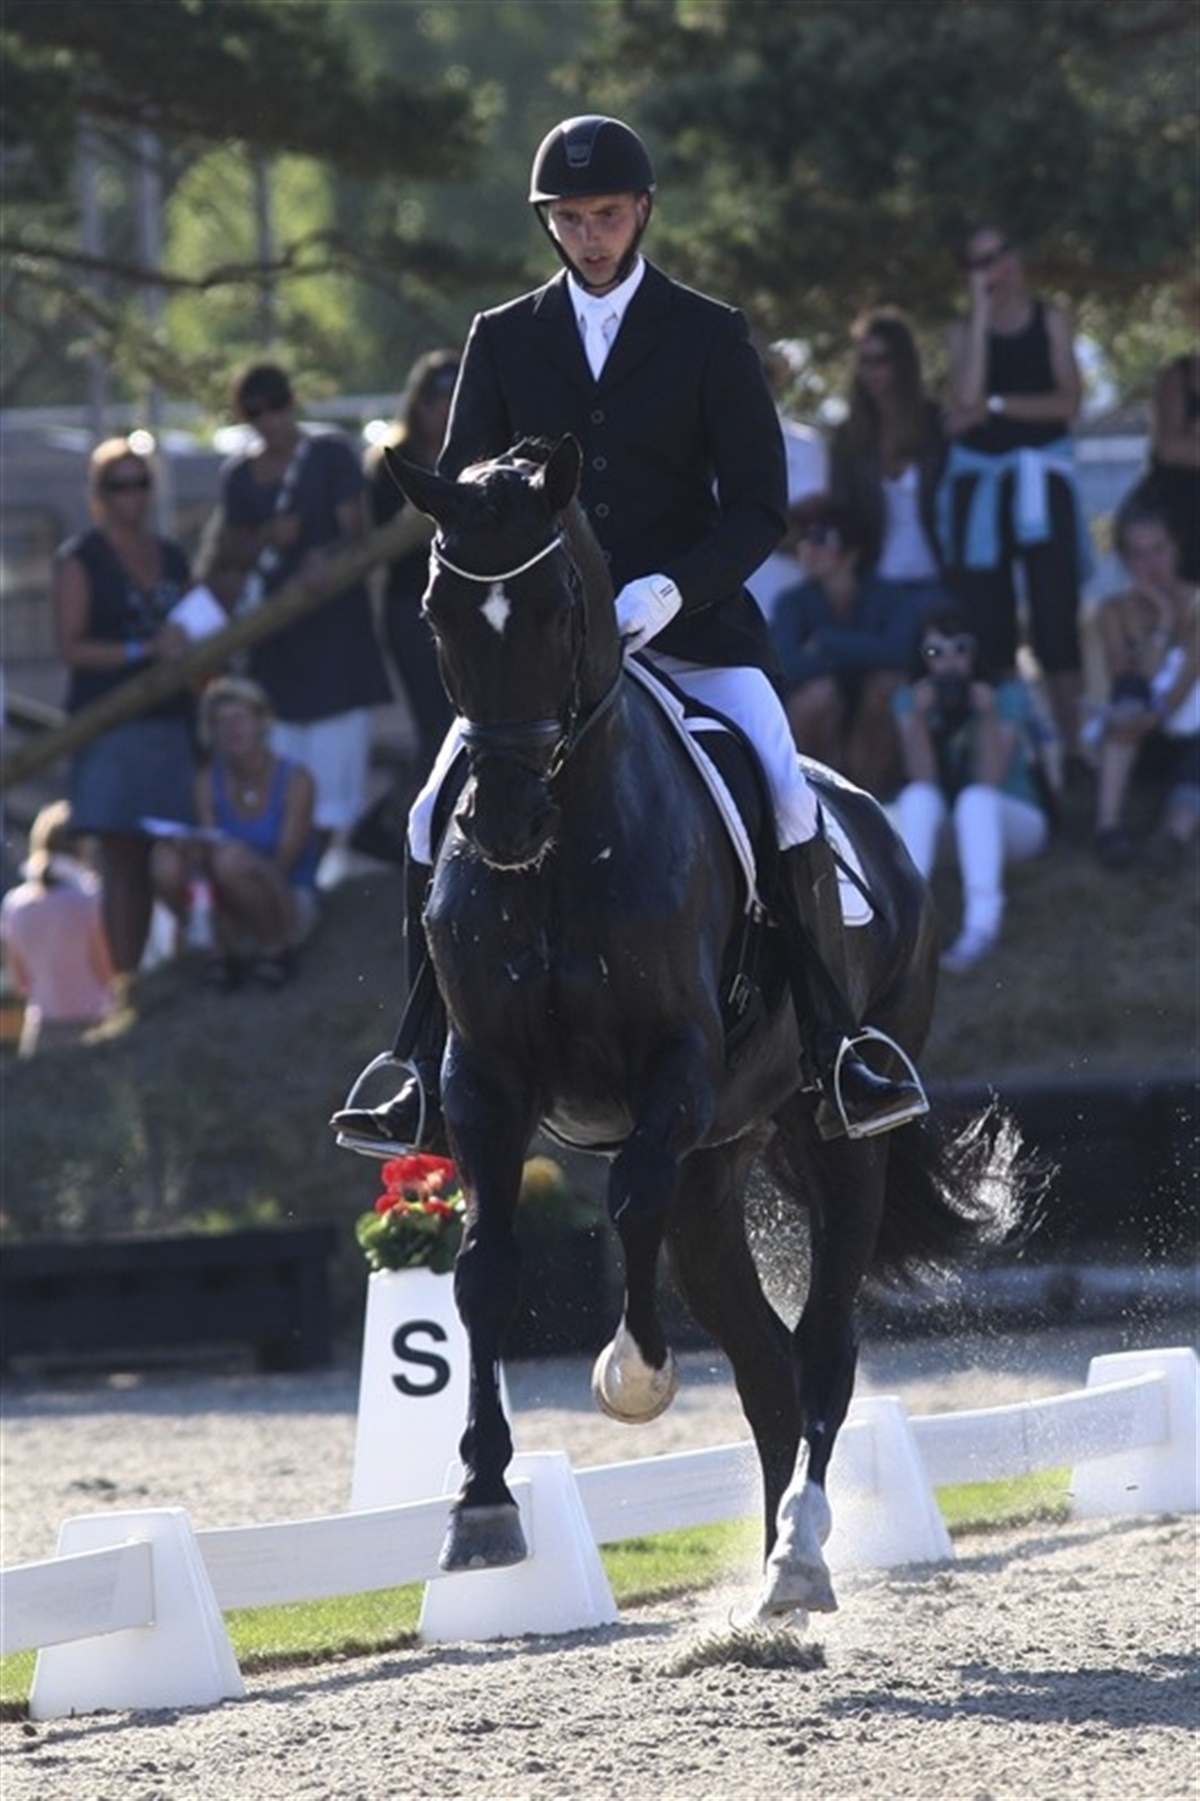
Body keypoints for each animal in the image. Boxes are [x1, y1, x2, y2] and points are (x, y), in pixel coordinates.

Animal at [381, 434, 1015, 1622]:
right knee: (767, 1369)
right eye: (439, 610)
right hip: (715, 1171)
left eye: (559, 610)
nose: (502, 823)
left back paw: (801, 1553)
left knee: (822, 1350)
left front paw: (634, 1377)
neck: (566, 848)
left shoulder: (673, 1069)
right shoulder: (485, 1079)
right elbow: (482, 1269)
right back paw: (768, 1583)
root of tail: (875, 818)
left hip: (834, 1139)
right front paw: (481, 1506)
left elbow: (625, 1199)